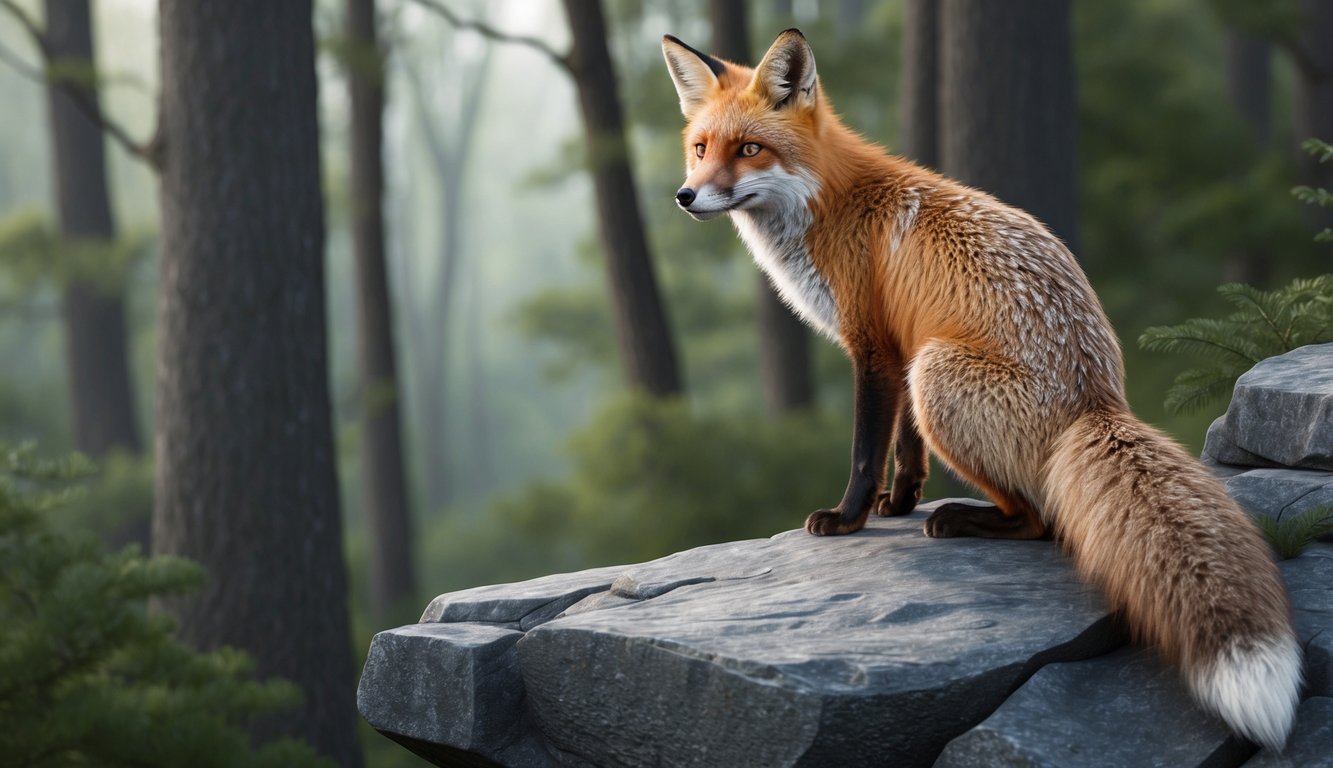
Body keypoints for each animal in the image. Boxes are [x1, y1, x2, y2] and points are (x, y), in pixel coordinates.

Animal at [661, 28, 1295, 752]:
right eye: (700, 148)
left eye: (749, 149)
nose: (685, 195)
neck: (827, 203)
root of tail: (1097, 401)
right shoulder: (904, 347)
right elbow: (905, 451)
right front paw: (897, 503)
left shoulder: (877, 349)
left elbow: (865, 449)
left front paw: (848, 518)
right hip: (930, 369)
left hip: (938, 375)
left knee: (1041, 522)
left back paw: (962, 519)